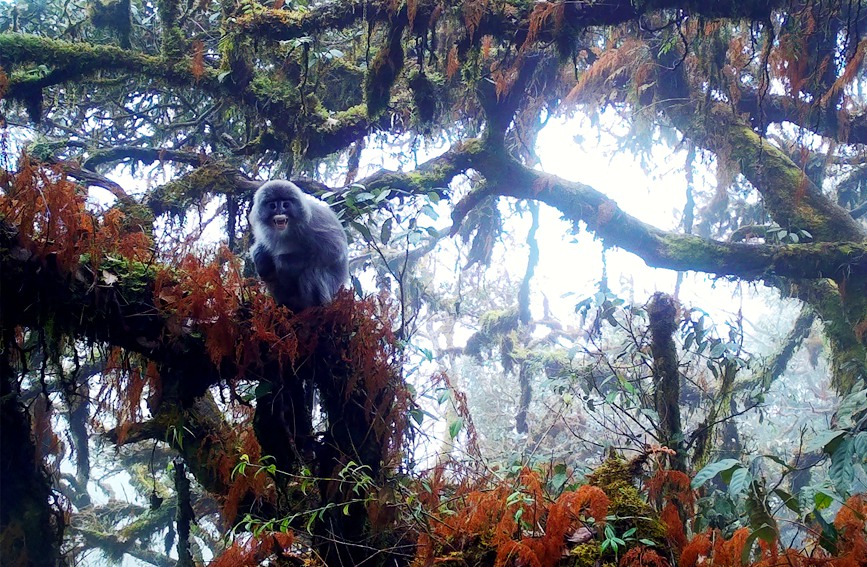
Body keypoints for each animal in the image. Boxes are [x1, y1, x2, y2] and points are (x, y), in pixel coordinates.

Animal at [248, 181, 350, 310]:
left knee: (312, 272)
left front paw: (282, 261)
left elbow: (334, 251)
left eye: (285, 205)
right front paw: (259, 256)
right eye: (273, 206)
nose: (279, 211)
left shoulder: (315, 224)